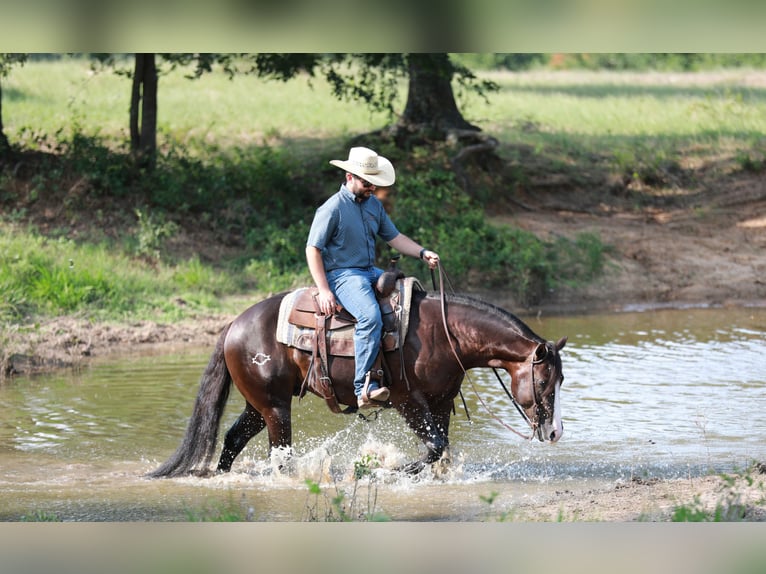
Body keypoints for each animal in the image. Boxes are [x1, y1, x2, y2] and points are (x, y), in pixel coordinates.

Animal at [152, 288, 568, 482]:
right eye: (544, 378)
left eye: (562, 378)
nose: (555, 432)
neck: (445, 335)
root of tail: (233, 325)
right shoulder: (408, 401)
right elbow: (435, 448)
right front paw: (381, 472)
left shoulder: (439, 403)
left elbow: (442, 452)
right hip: (274, 408)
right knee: (279, 455)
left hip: (258, 405)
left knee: (233, 439)